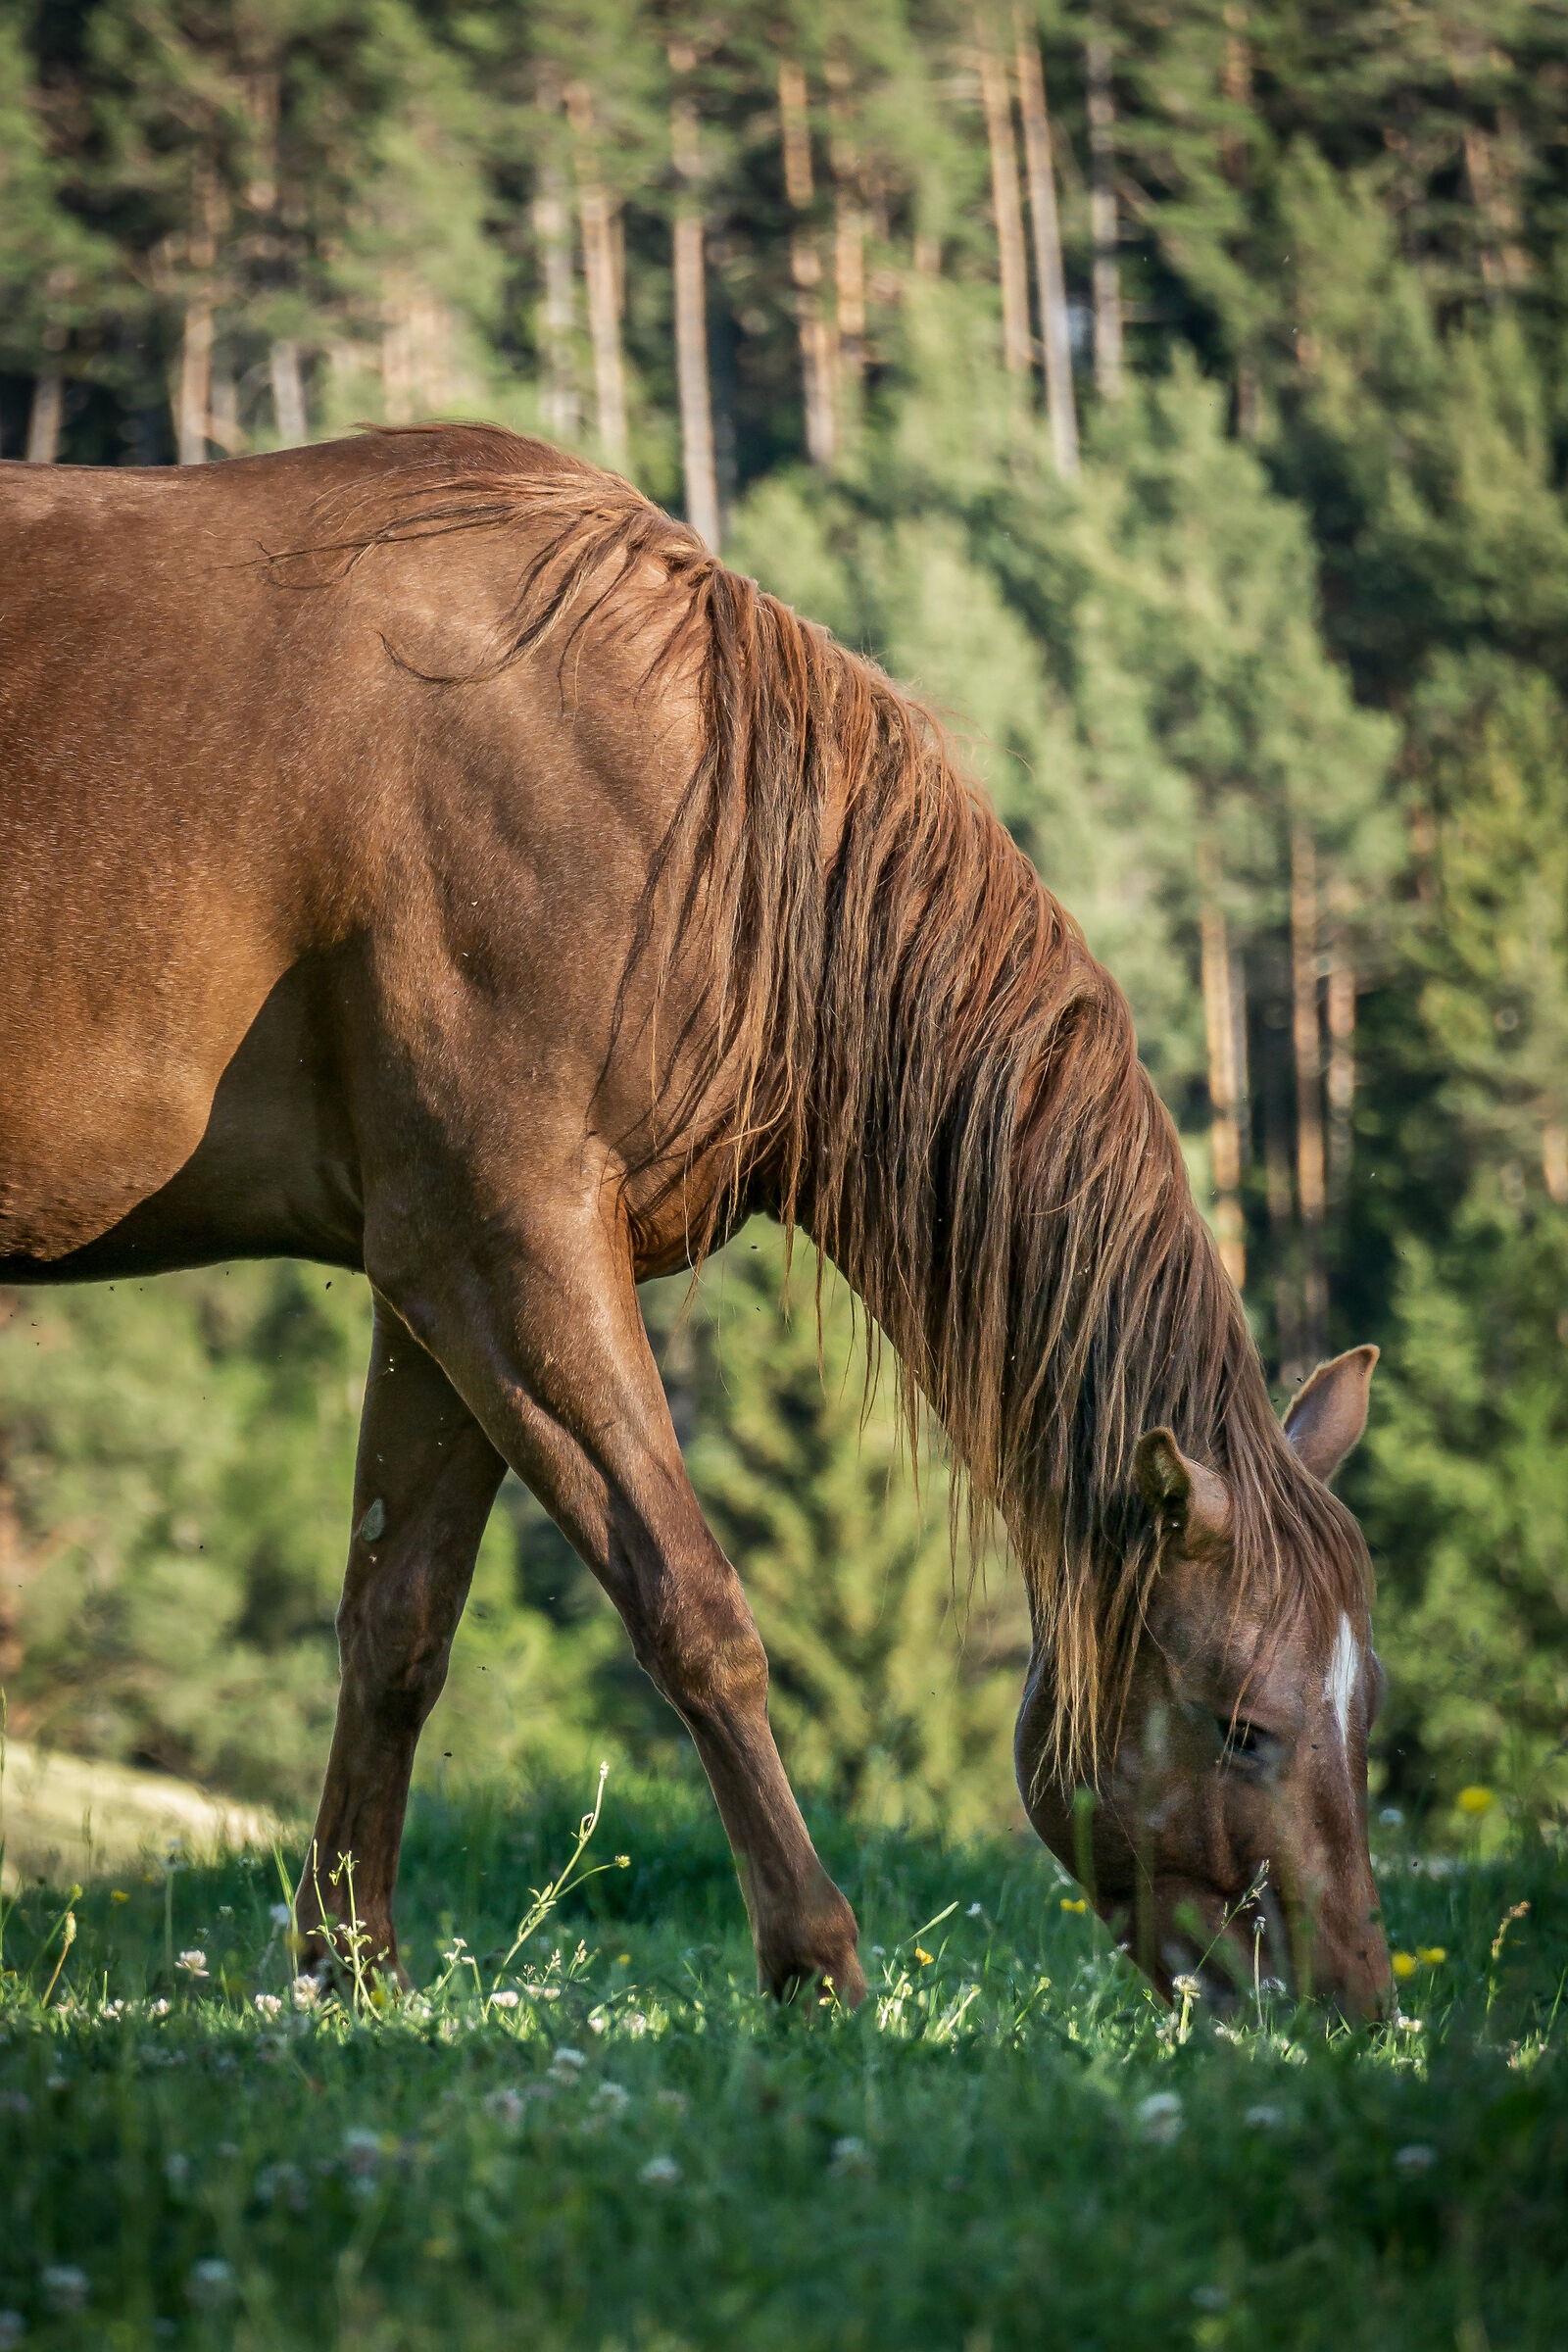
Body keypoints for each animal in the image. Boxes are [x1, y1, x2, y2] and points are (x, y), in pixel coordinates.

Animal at [0, 424, 1391, 2017]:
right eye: (1241, 1726)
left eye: (1366, 1714)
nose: (1356, 2010)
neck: (682, 825)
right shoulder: (509, 1252)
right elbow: (695, 1612)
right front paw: (819, 1966)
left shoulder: (437, 1289)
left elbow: (394, 1627)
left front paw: (350, 1975)